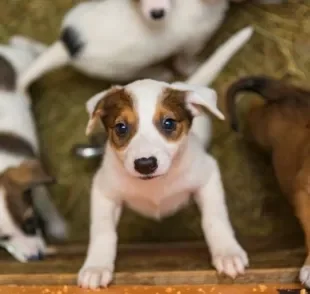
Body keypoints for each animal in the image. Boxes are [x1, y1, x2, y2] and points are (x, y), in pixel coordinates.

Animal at [0, 36, 68, 260]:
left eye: (31, 222)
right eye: (3, 238)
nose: (35, 258)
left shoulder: (37, 186)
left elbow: (46, 204)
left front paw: (58, 227)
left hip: (22, 61)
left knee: (25, 47)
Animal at [17, 0, 230, 90]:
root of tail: (68, 47)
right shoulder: (193, 42)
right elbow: (185, 62)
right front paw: (194, 66)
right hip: (123, 69)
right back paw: (161, 73)